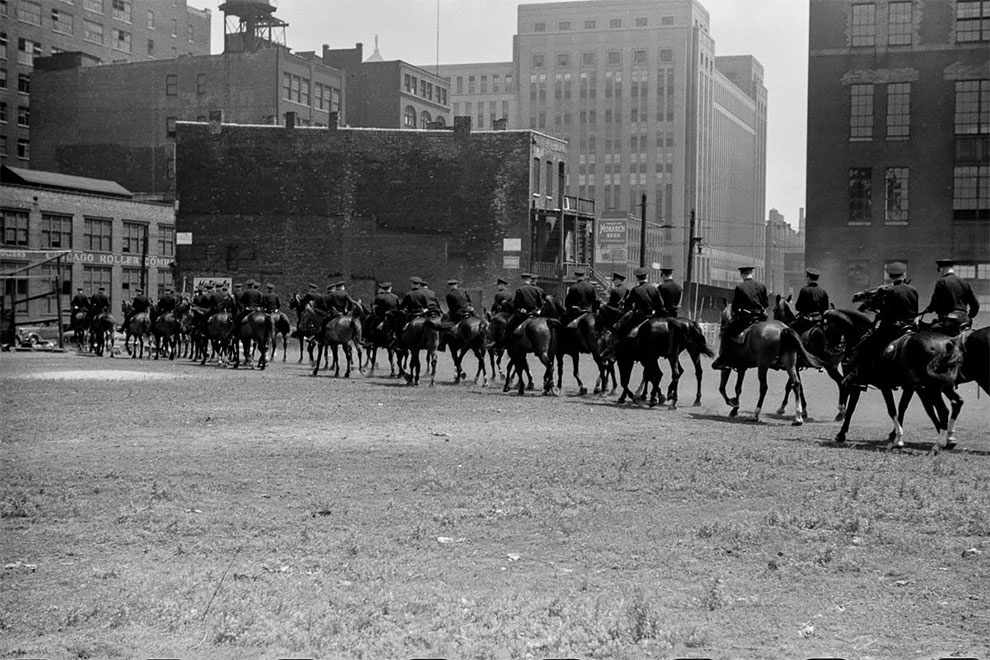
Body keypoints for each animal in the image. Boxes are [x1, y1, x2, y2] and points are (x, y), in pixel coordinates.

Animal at [824, 310, 964, 448]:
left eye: (826, 328)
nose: (831, 349)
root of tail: (948, 343)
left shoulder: (873, 385)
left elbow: (887, 409)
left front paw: (841, 434)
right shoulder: (912, 387)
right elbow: (912, 408)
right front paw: (896, 435)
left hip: (932, 387)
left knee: (944, 410)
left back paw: (940, 442)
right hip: (940, 387)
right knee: (957, 402)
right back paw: (949, 438)